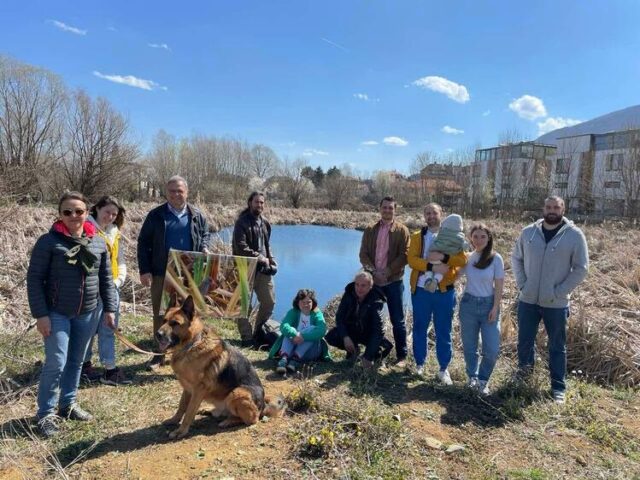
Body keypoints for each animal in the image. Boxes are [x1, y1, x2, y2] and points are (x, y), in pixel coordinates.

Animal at [156, 292, 284, 438]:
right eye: (164, 320)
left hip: (237, 392)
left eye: (175, 323)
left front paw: (181, 431)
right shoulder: (187, 389)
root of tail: (263, 406)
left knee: (252, 419)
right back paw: (211, 411)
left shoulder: (198, 390)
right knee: (223, 412)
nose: (157, 334)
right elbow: (181, 407)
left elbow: (189, 412)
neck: (192, 344)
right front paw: (174, 420)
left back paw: (228, 421)